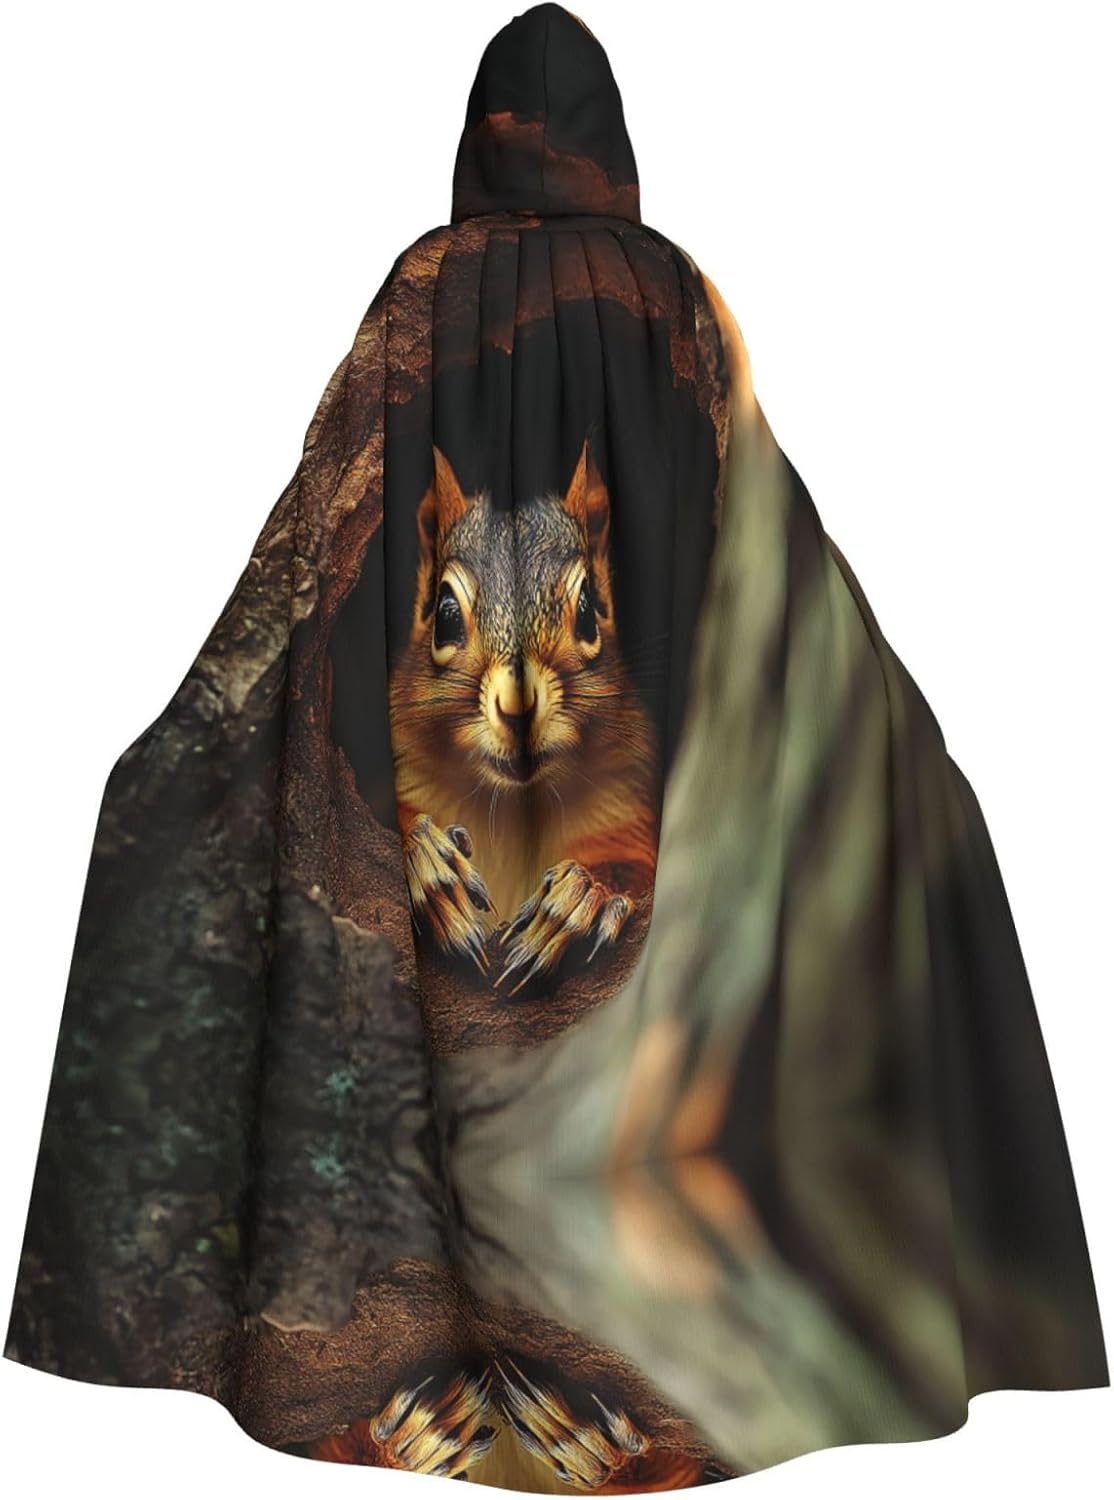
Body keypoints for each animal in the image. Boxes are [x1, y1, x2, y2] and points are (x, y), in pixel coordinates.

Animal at [387, 440, 659, 995]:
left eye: (588, 611)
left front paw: (582, 898)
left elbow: (634, 866)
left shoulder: (626, 810)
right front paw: (428, 866)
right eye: (445, 614)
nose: (518, 708)